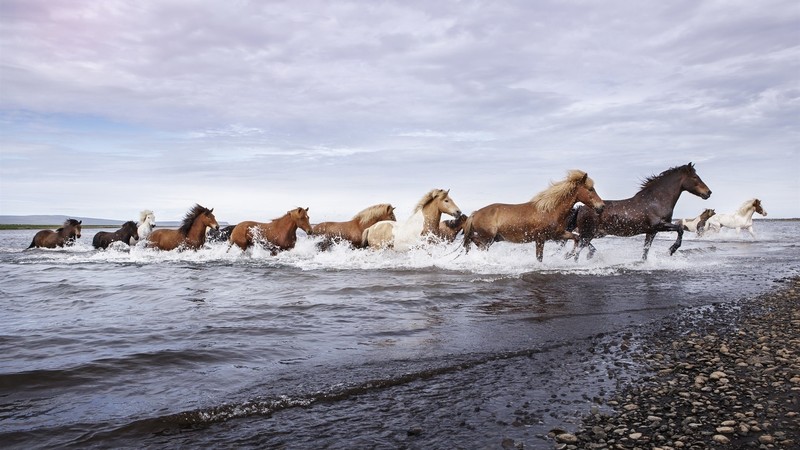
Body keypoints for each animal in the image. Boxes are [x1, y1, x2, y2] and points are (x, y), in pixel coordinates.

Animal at [463, 170, 604, 262]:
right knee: (474, 241)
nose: (601, 206)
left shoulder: (556, 234)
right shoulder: (540, 238)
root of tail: (475, 213)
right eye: (590, 189)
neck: (550, 211)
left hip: (493, 239)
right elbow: (539, 258)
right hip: (488, 238)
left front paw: (569, 255)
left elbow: (576, 238)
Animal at [566, 162, 711, 261]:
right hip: (589, 233)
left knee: (579, 241)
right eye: (695, 177)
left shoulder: (651, 232)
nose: (708, 192)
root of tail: (581, 207)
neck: (656, 201)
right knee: (578, 247)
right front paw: (672, 249)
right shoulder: (659, 225)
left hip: (595, 233)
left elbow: (645, 251)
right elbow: (680, 229)